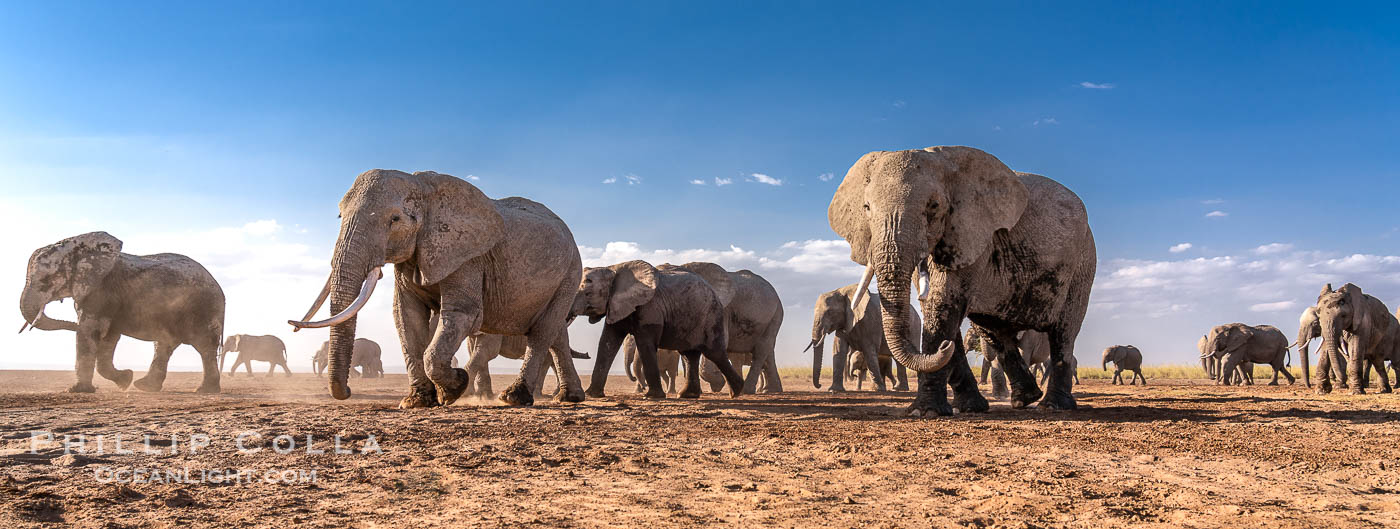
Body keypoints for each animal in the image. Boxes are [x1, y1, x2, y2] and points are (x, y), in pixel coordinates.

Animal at [19, 232, 224, 393]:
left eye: (46, 280)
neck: (75, 246)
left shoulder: (100, 292)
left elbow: (88, 330)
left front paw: (77, 391)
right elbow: (109, 337)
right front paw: (125, 380)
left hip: (204, 308)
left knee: (204, 346)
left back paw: (204, 391)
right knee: (164, 345)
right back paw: (144, 386)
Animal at [287, 169, 585, 407]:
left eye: (395, 219)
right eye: (339, 215)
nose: (347, 391)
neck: (424, 189)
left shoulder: (468, 257)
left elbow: (461, 314)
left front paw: (454, 388)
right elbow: (406, 316)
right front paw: (416, 402)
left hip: (571, 271)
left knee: (542, 332)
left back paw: (514, 398)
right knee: (557, 334)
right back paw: (569, 398)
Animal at [571, 260, 744, 400]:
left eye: (588, 293)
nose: (587, 354)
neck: (614, 268)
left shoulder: (650, 307)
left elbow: (645, 344)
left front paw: (652, 396)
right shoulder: (616, 304)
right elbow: (607, 342)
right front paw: (592, 394)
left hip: (710, 316)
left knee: (714, 352)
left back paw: (736, 391)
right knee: (690, 355)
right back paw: (687, 395)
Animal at [663, 263, 784, 394]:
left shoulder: (722, 308)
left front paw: (717, 384)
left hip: (775, 315)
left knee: (761, 349)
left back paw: (747, 390)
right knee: (767, 350)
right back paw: (770, 390)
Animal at [829, 146, 1097, 415]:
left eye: (934, 206)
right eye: (866, 207)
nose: (943, 347)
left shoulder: (972, 235)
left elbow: (942, 306)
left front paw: (925, 412)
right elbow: (936, 308)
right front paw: (968, 407)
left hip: (1083, 263)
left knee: (1064, 333)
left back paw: (1053, 406)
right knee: (995, 332)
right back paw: (1024, 399)